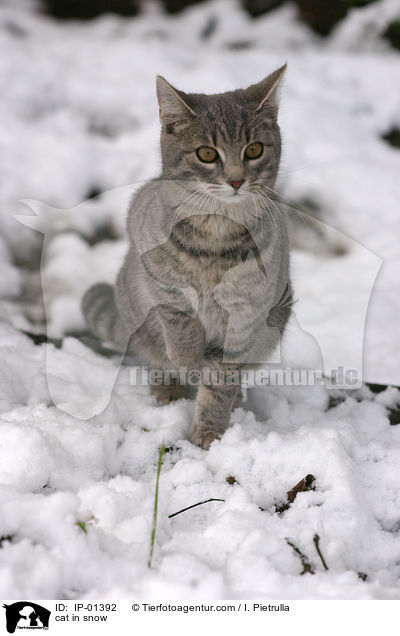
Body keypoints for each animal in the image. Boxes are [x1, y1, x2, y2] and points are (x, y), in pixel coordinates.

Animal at [83, 66, 292, 448]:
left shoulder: (246, 313)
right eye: (207, 154)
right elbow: (178, 323)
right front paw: (187, 360)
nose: (236, 180)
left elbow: (221, 381)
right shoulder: (156, 273)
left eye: (254, 149)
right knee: (154, 360)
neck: (216, 239)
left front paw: (210, 431)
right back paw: (169, 388)